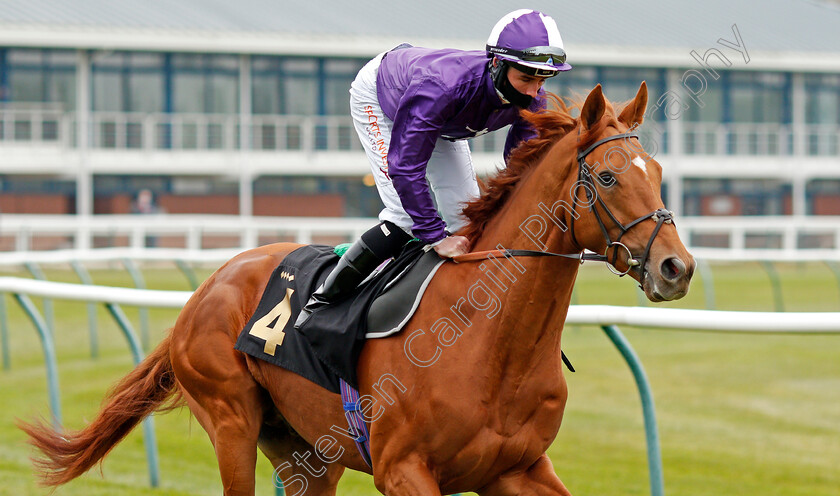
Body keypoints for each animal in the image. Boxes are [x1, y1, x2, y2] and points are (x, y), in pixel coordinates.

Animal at [21, 82, 696, 496]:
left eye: (659, 172)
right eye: (607, 177)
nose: (677, 267)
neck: (491, 338)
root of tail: (206, 287)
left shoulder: (520, 468)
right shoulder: (403, 471)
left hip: (304, 454)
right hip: (231, 421)